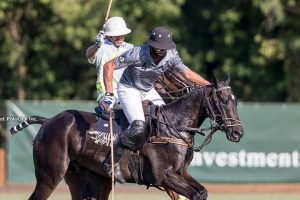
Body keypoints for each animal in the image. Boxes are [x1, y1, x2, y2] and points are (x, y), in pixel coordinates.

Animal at [10, 74, 244, 200]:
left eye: (235, 100)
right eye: (223, 100)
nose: (238, 132)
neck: (173, 126)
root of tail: (48, 121)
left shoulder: (180, 173)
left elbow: (201, 192)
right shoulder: (164, 176)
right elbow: (195, 194)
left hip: (83, 177)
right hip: (49, 176)